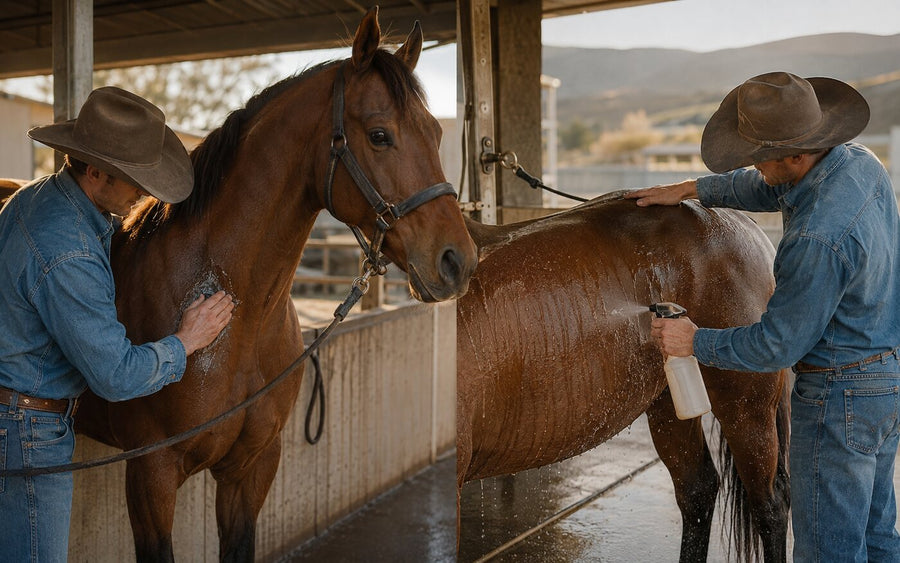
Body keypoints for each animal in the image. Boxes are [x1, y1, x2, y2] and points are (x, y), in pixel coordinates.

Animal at [73, 8, 477, 562]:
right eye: (379, 135)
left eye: (437, 133)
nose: (459, 260)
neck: (236, 315)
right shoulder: (150, 476)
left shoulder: (254, 467)